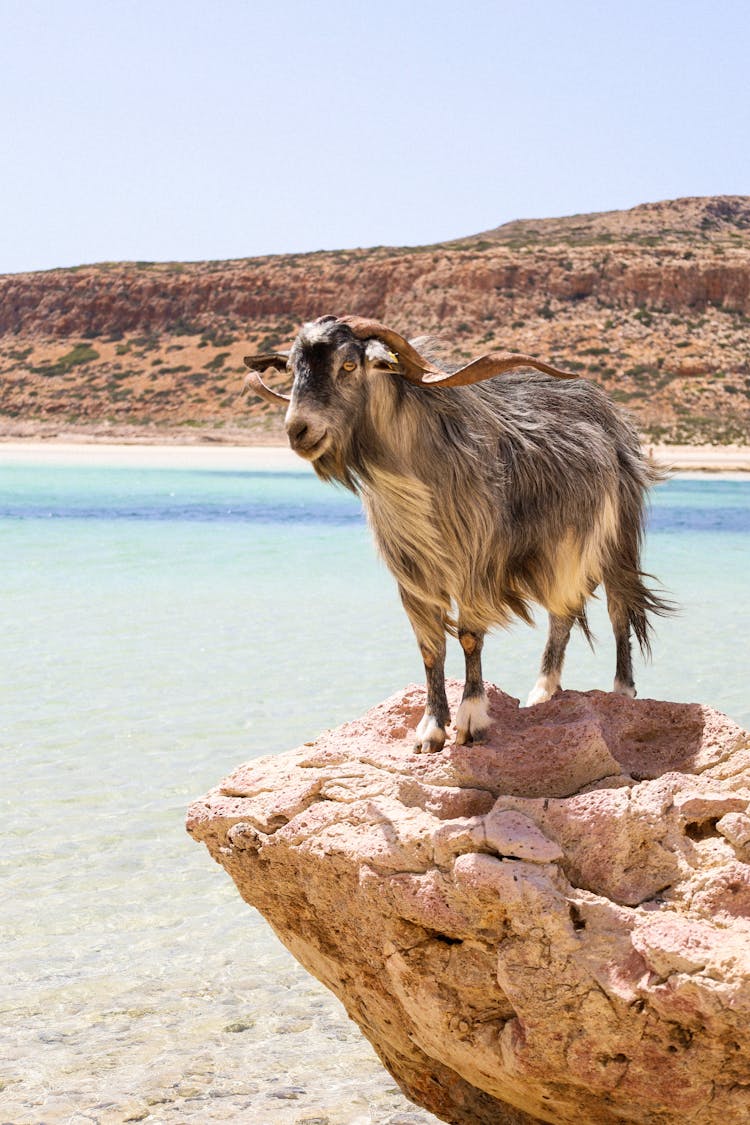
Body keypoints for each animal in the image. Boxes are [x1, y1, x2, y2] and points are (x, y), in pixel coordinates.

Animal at [244, 315, 670, 756]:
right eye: (292, 368)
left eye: (348, 365)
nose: (298, 430)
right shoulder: (413, 575)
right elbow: (430, 647)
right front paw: (430, 729)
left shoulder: (474, 564)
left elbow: (468, 638)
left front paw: (471, 720)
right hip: (561, 554)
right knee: (563, 613)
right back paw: (543, 691)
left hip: (614, 538)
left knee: (618, 606)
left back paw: (621, 690)